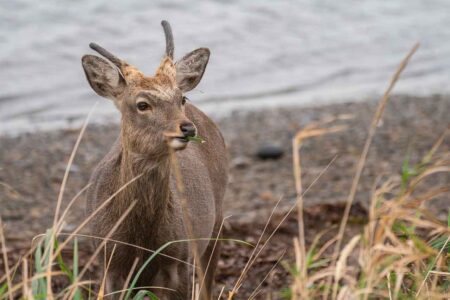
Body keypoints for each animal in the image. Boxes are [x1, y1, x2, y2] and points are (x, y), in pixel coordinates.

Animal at [82, 19, 227, 298]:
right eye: (142, 104)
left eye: (182, 98)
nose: (187, 128)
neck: (142, 243)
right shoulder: (109, 264)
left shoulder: (179, 262)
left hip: (216, 219)